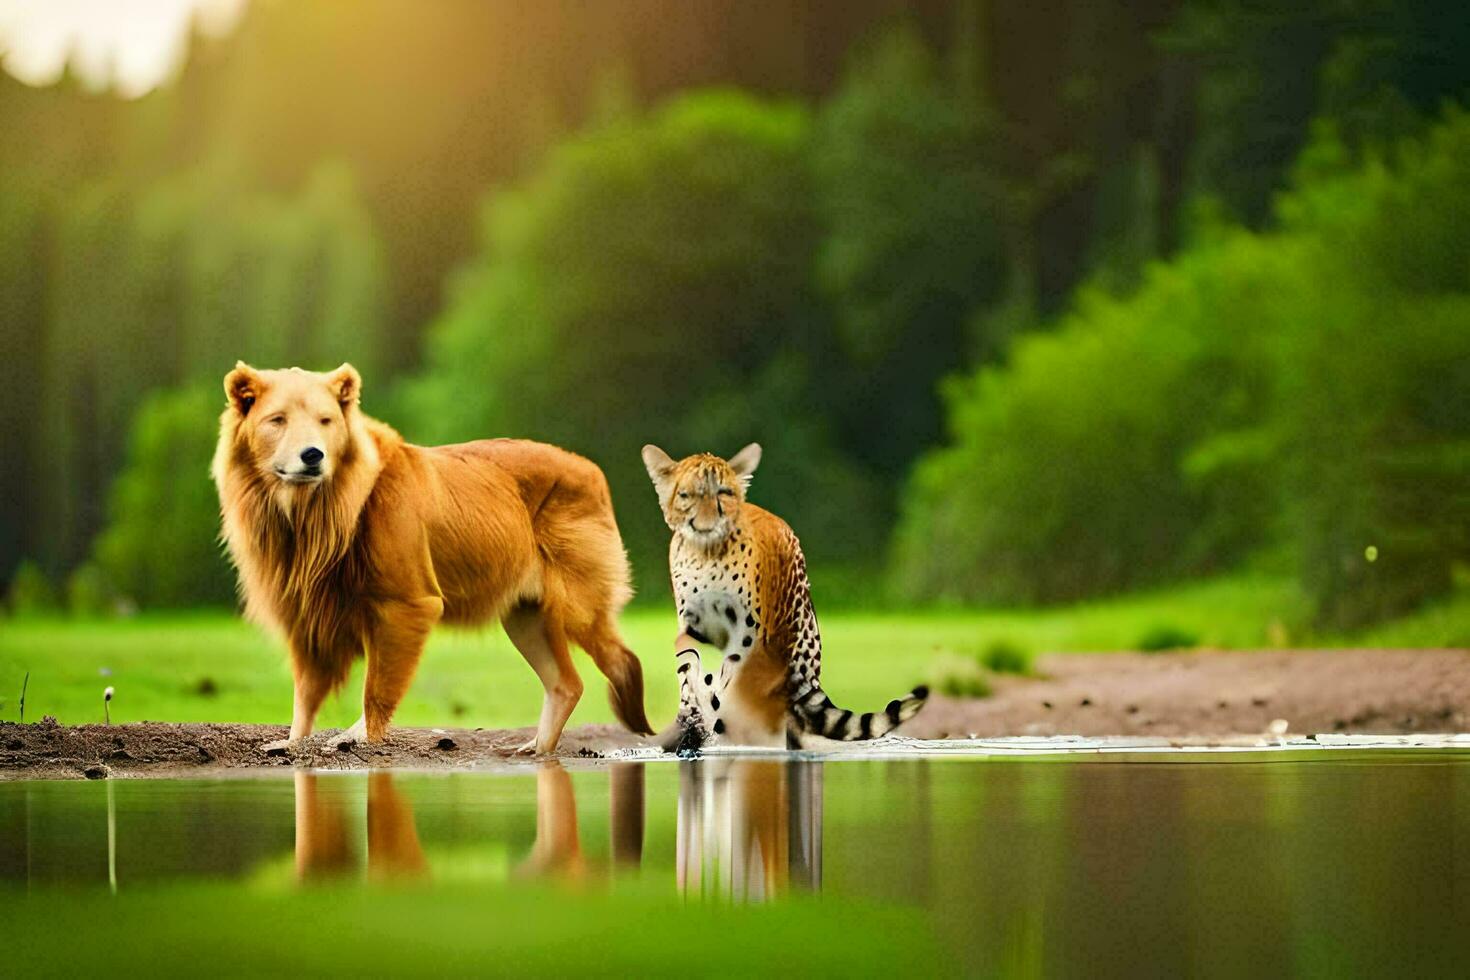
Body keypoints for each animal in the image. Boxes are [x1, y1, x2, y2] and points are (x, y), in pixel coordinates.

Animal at [640, 440, 923, 746]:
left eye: (724, 493)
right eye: (686, 495)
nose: (705, 525)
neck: (707, 555)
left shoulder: (747, 631)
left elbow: (728, 680)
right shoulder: (691, 626)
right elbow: (689, 672)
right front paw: (692, 724)